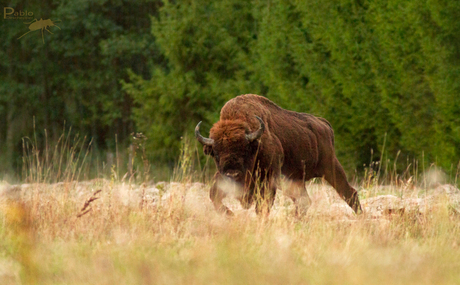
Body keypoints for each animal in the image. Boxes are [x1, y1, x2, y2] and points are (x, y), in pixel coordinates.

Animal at [195, 94, 362, 214]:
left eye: (245, 150)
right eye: (216, 153)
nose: (232, 174)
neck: (255, 143)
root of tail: (324, 124)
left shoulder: (268, 180)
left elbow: (262, 207)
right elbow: (213, 195)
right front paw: (230, 215)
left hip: (330, 168)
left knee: (349, 193)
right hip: (294, 180)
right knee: (304, 202)